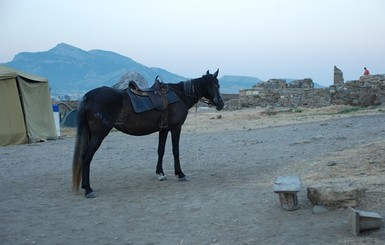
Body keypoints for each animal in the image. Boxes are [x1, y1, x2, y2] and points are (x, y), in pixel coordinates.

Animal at [72, 69, 224, 197]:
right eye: (217, 85)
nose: (221, 104)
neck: (179, 96)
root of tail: (88, 96)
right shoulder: (176, 128)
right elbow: (175, 151)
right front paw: (180, 173)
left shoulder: (164, 129)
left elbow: (160, 151)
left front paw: (161, 173)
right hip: (98, 135)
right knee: (86, 157)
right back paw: (88, 189)